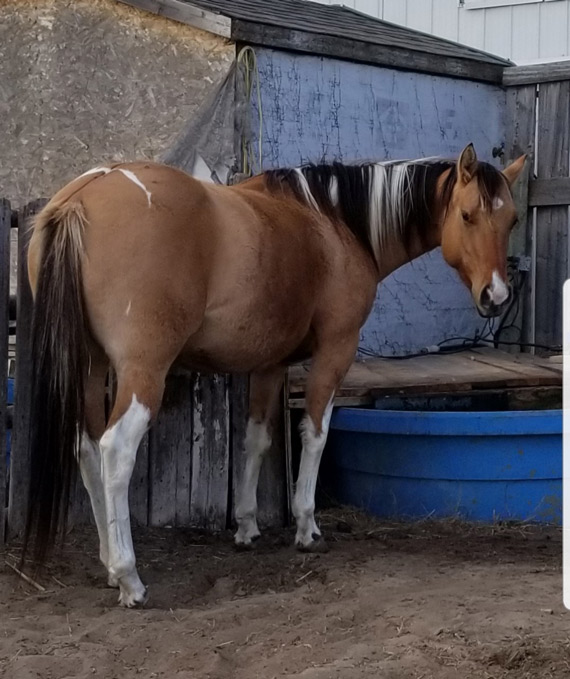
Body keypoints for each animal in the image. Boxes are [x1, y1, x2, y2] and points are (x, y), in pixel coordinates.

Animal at [23, 144, 525, 607]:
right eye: (467, 214)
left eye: (512, 221)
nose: (496, 296)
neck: (335, 223)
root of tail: (83, 197)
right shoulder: (335, 350)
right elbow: (315, 434)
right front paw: (307, 526)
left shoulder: (269, 364)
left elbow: (257, 439)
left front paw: (246, 526)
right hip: (143, 371)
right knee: (116, 449)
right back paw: (128, 577)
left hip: (89, 367)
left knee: (88, 449)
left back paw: (109, 562)